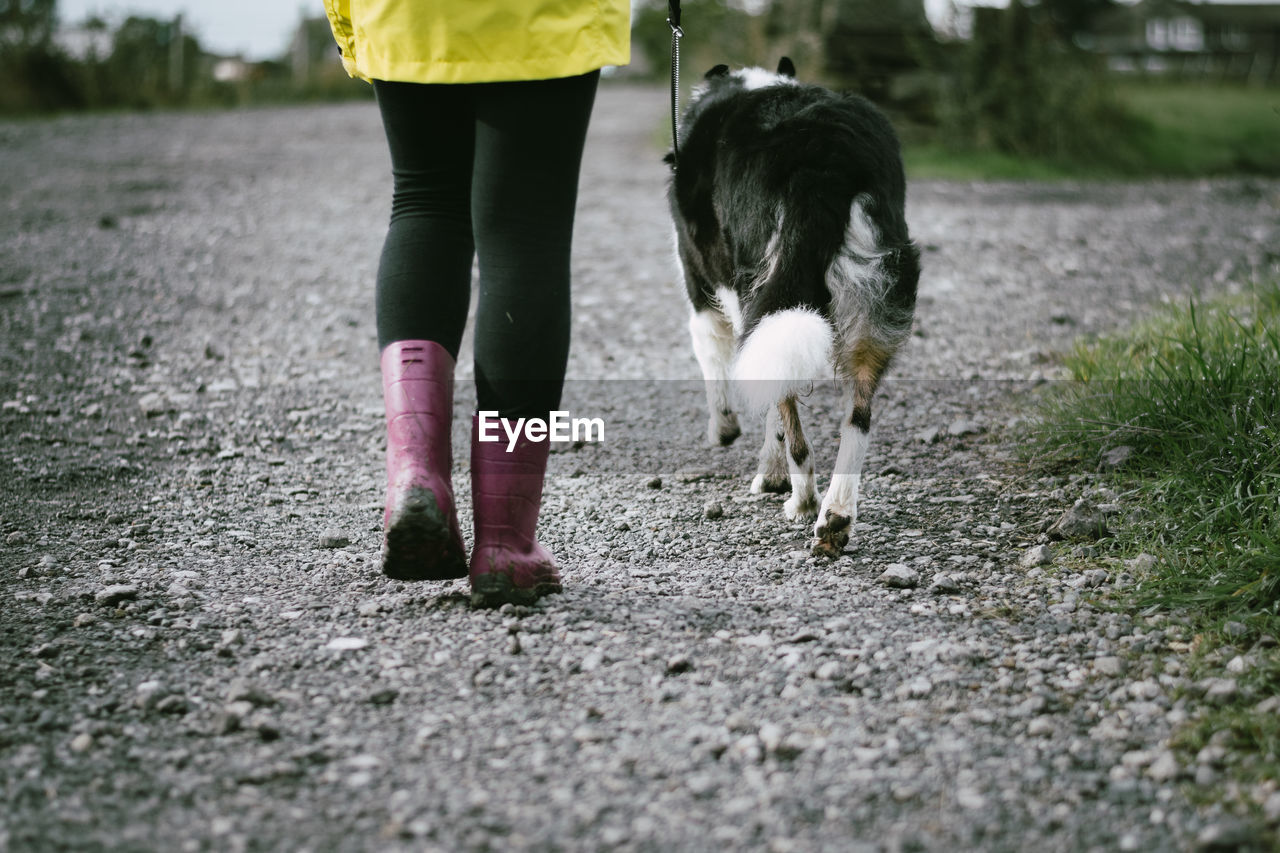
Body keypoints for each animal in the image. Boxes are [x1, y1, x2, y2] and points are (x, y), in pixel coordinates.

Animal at [670, 58, 921, 550]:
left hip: (763, 287)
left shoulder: (706, 296)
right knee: (858, 418)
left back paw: (805, 500)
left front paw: (739, 445)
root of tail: (821, 160)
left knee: (795, 425)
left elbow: (727, 379)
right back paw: (836, 516)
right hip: (877, 291)